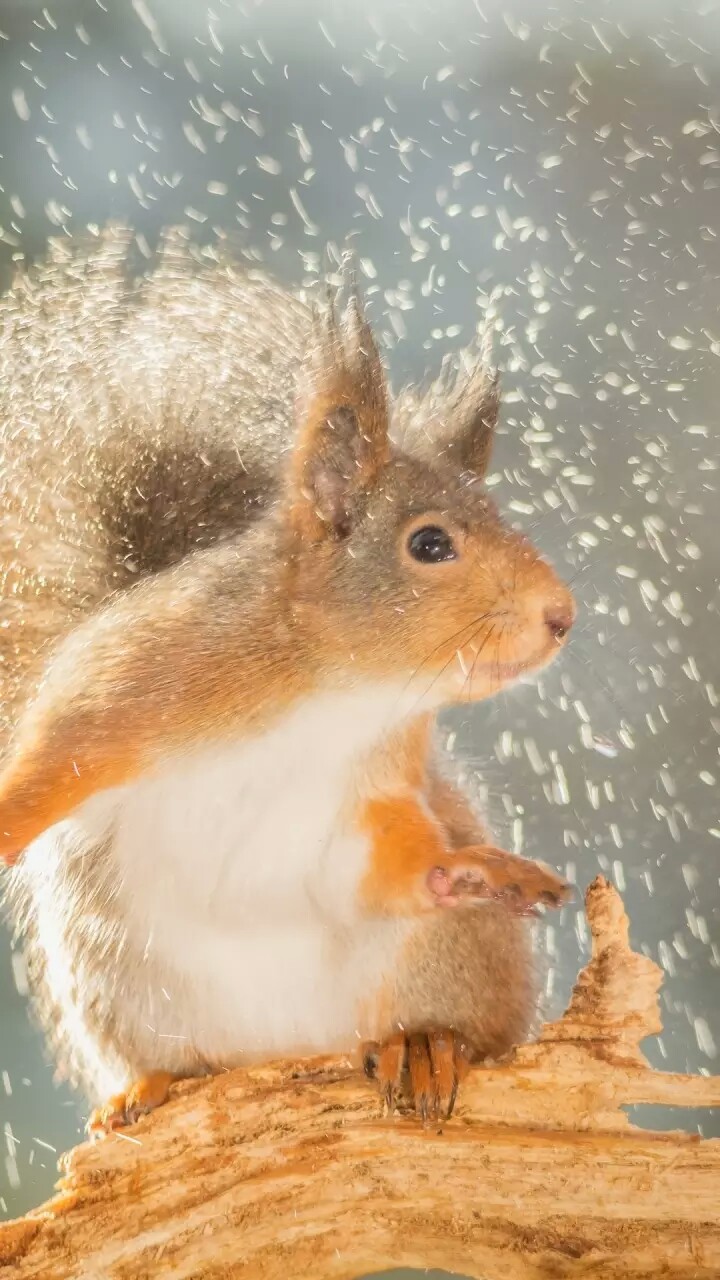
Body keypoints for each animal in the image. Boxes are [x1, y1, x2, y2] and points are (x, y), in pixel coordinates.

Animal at [0, 230, 571, 1131]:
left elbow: (388, 870)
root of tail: (289, 1049)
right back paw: (152, 1087)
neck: (336, 696)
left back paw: (425, 1044)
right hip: (122, 985)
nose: (562, 615)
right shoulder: (124, 681)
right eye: (431, 544)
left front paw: (471, 872)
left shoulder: (372, 795)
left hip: (442, 961)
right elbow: (47, 758)